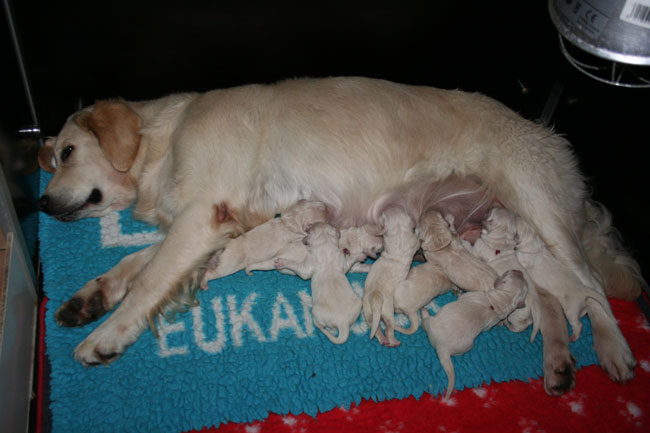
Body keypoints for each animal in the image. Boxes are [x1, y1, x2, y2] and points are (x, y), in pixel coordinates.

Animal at [360, 204, 420, 346]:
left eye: (382, 216)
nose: (390, 204)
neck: (398, 232)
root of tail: (376, 298)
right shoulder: (413, 242)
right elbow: (417, 240)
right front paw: (418, 231)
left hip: (367, 311)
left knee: (375, 329)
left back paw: (382, 339)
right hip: (388, 312)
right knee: (388, 329)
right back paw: (393, 341)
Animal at [420, 270, 528, 398]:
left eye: (510, 274)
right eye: (523, 279)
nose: (519, 271)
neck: (503, 300)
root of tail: (443, 348)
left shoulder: (473, 294)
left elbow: (462, 297)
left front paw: (459, 293)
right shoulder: (491, 323)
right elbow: (489, 327)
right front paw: (500, 323)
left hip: (432, 324)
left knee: (425, 323)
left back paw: (424, 312)